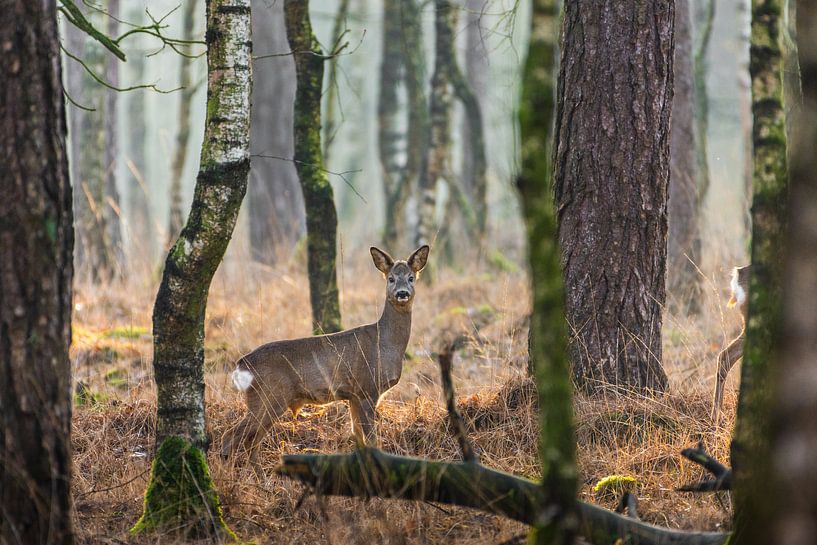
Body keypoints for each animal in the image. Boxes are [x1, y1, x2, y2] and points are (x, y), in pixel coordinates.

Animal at [220, 244, 430, 462]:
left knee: (251, 441)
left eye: (411, 277)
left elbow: (358, 437)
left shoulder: (354, 396)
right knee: (232, 436)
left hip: (266, 400)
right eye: (391, 278)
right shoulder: (367, 388)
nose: (402, 293)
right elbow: (372, 440)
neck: (386, 344)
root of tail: (241, 365)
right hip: (268, 396)